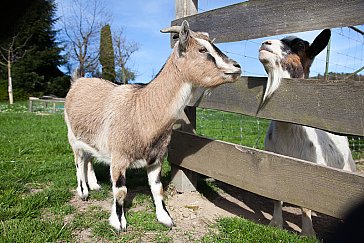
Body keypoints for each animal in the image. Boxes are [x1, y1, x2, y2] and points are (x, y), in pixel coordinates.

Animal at [64, 19, 242, 231]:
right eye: (202, 49)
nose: (237, 67)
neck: (142, 109)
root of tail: (78, 82)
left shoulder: (156, 158)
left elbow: (158, 189)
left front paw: (165, 218)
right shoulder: (119, 157)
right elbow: (120, 191)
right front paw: (119, 222)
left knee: (88, 158)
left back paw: (94, 185)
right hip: (73, 136)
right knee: (79, 161)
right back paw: (83, 191)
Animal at [258, 29, 356, 236]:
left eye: (300, 45)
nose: (265, 43)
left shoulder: (310, 169)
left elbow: (306, 203)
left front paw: (308, 233)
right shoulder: (273, 160)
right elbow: (276, 195)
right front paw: (275, 223)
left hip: (347, 167)